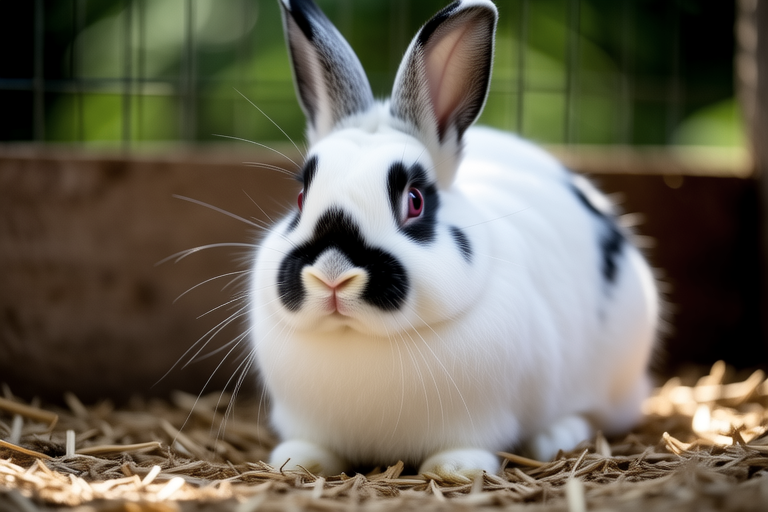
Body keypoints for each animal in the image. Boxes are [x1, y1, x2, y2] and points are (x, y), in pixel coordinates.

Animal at [249, 0, 658, 479]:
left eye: (414, 201)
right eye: (300, 197)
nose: (332, 274)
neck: (361, 340)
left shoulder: (481, 416)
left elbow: (468, 446)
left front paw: (456, 468)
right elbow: (313, 447)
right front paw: (298, 461)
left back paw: (556, 435)